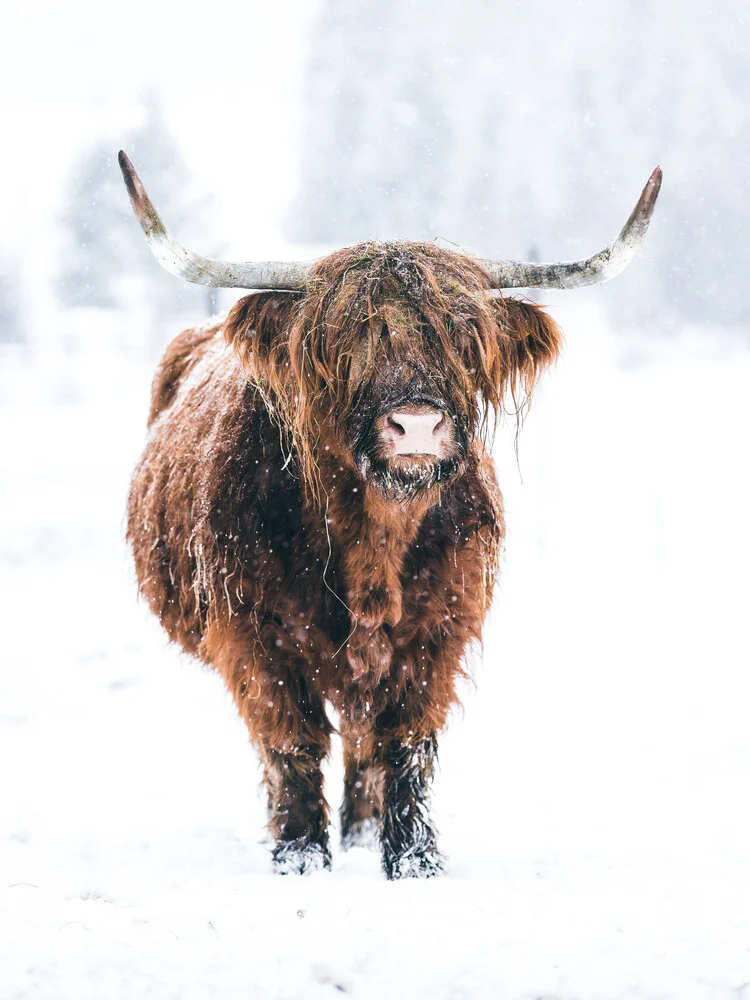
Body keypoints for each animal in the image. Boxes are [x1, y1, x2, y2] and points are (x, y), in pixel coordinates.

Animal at [119, 152, 664, 880]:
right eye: (345, 338)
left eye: (462, 337)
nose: (417, 425)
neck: (372, 542)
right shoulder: (252, 634)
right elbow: (290, 740)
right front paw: (300, 855)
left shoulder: (440, 631)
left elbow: (405, 740)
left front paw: (412, 859)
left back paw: (360, 830)